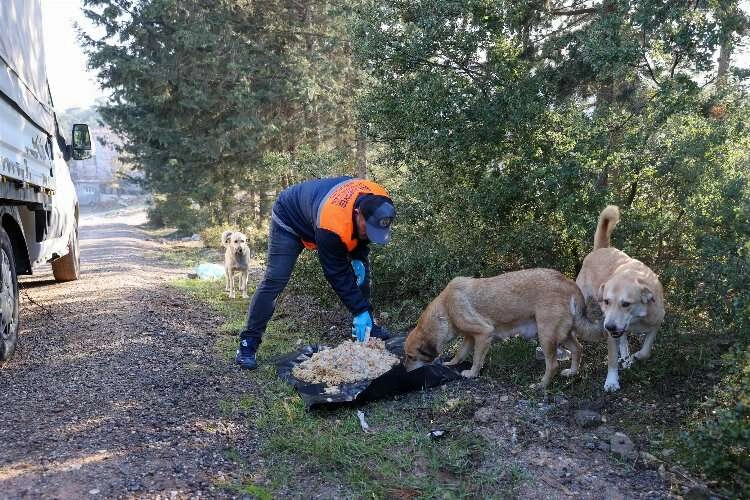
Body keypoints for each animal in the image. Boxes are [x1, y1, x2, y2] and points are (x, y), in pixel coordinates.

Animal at [402, 268, 604, 388]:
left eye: (411, 357)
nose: (405, 371)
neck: (445, 309)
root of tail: (570, 283)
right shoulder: (470, 336)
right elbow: (460, 353)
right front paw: (451, 364)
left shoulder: (484, 333)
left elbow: (476, 359)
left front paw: (472, 374)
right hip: (563, 334)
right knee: (578, 348)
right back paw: (572, 372)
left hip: (546, 336)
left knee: (553, 365)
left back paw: (541, 385)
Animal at [580, 205, 668, 392]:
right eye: (606, 301)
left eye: (626, 304)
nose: (609, 326)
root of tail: (601, 249)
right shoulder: (611, 334)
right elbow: (612, 359)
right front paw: (612, 381)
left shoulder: (657, 321)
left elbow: (646, 350)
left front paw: (635, 357)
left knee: (624, 339)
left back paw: (627, 358)